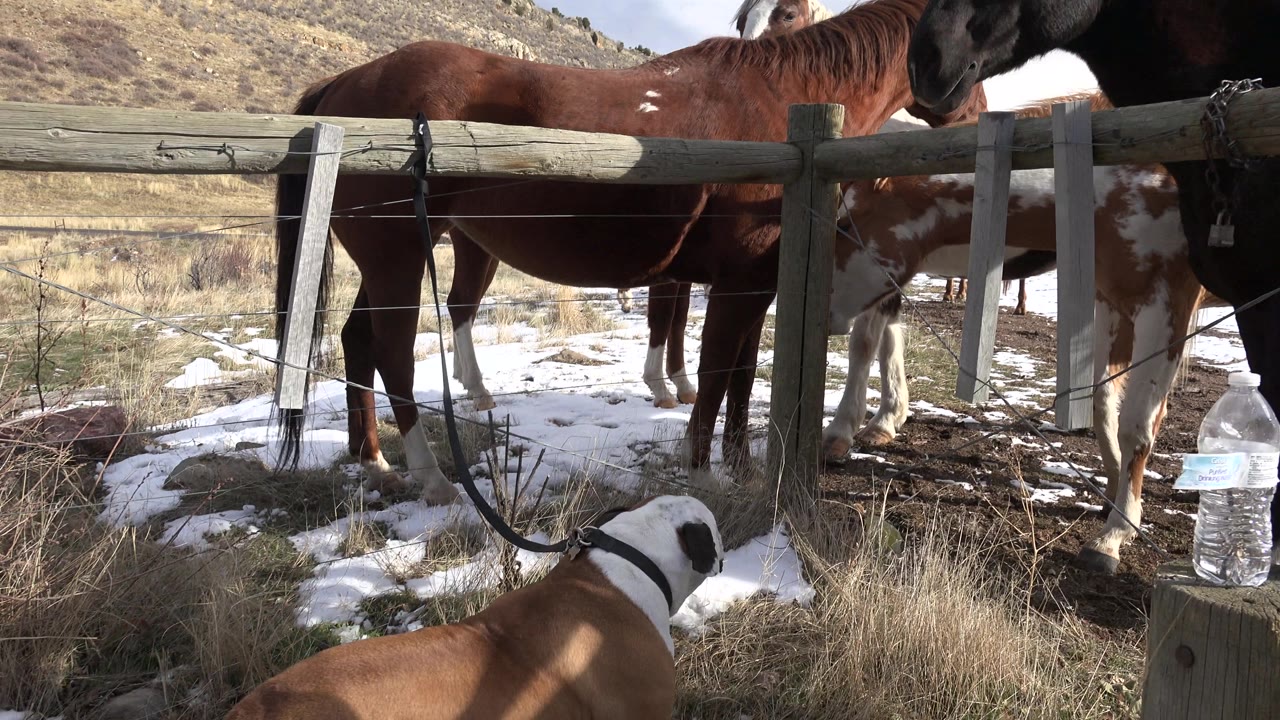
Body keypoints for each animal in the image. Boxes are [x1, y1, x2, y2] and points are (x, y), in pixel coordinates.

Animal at [273, 0, 989, 503]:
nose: (978, 113)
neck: (783, 109)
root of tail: (346, 82)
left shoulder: (757, 285)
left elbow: (741, 377)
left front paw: (738, 466)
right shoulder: (734, 286)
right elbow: (714, 378)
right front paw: (703, 473)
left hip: (386, 262)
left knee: (357, 341)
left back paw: (373, 460)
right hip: (399, 259)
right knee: (392, 353)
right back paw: (430, 477)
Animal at [906, 0, 1280, 572]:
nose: (926, 61)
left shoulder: (1167, 307)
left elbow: (1138, 423)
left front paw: (1115, 534)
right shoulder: (1108, 301)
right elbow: (1102, 404)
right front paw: (1115, 497)